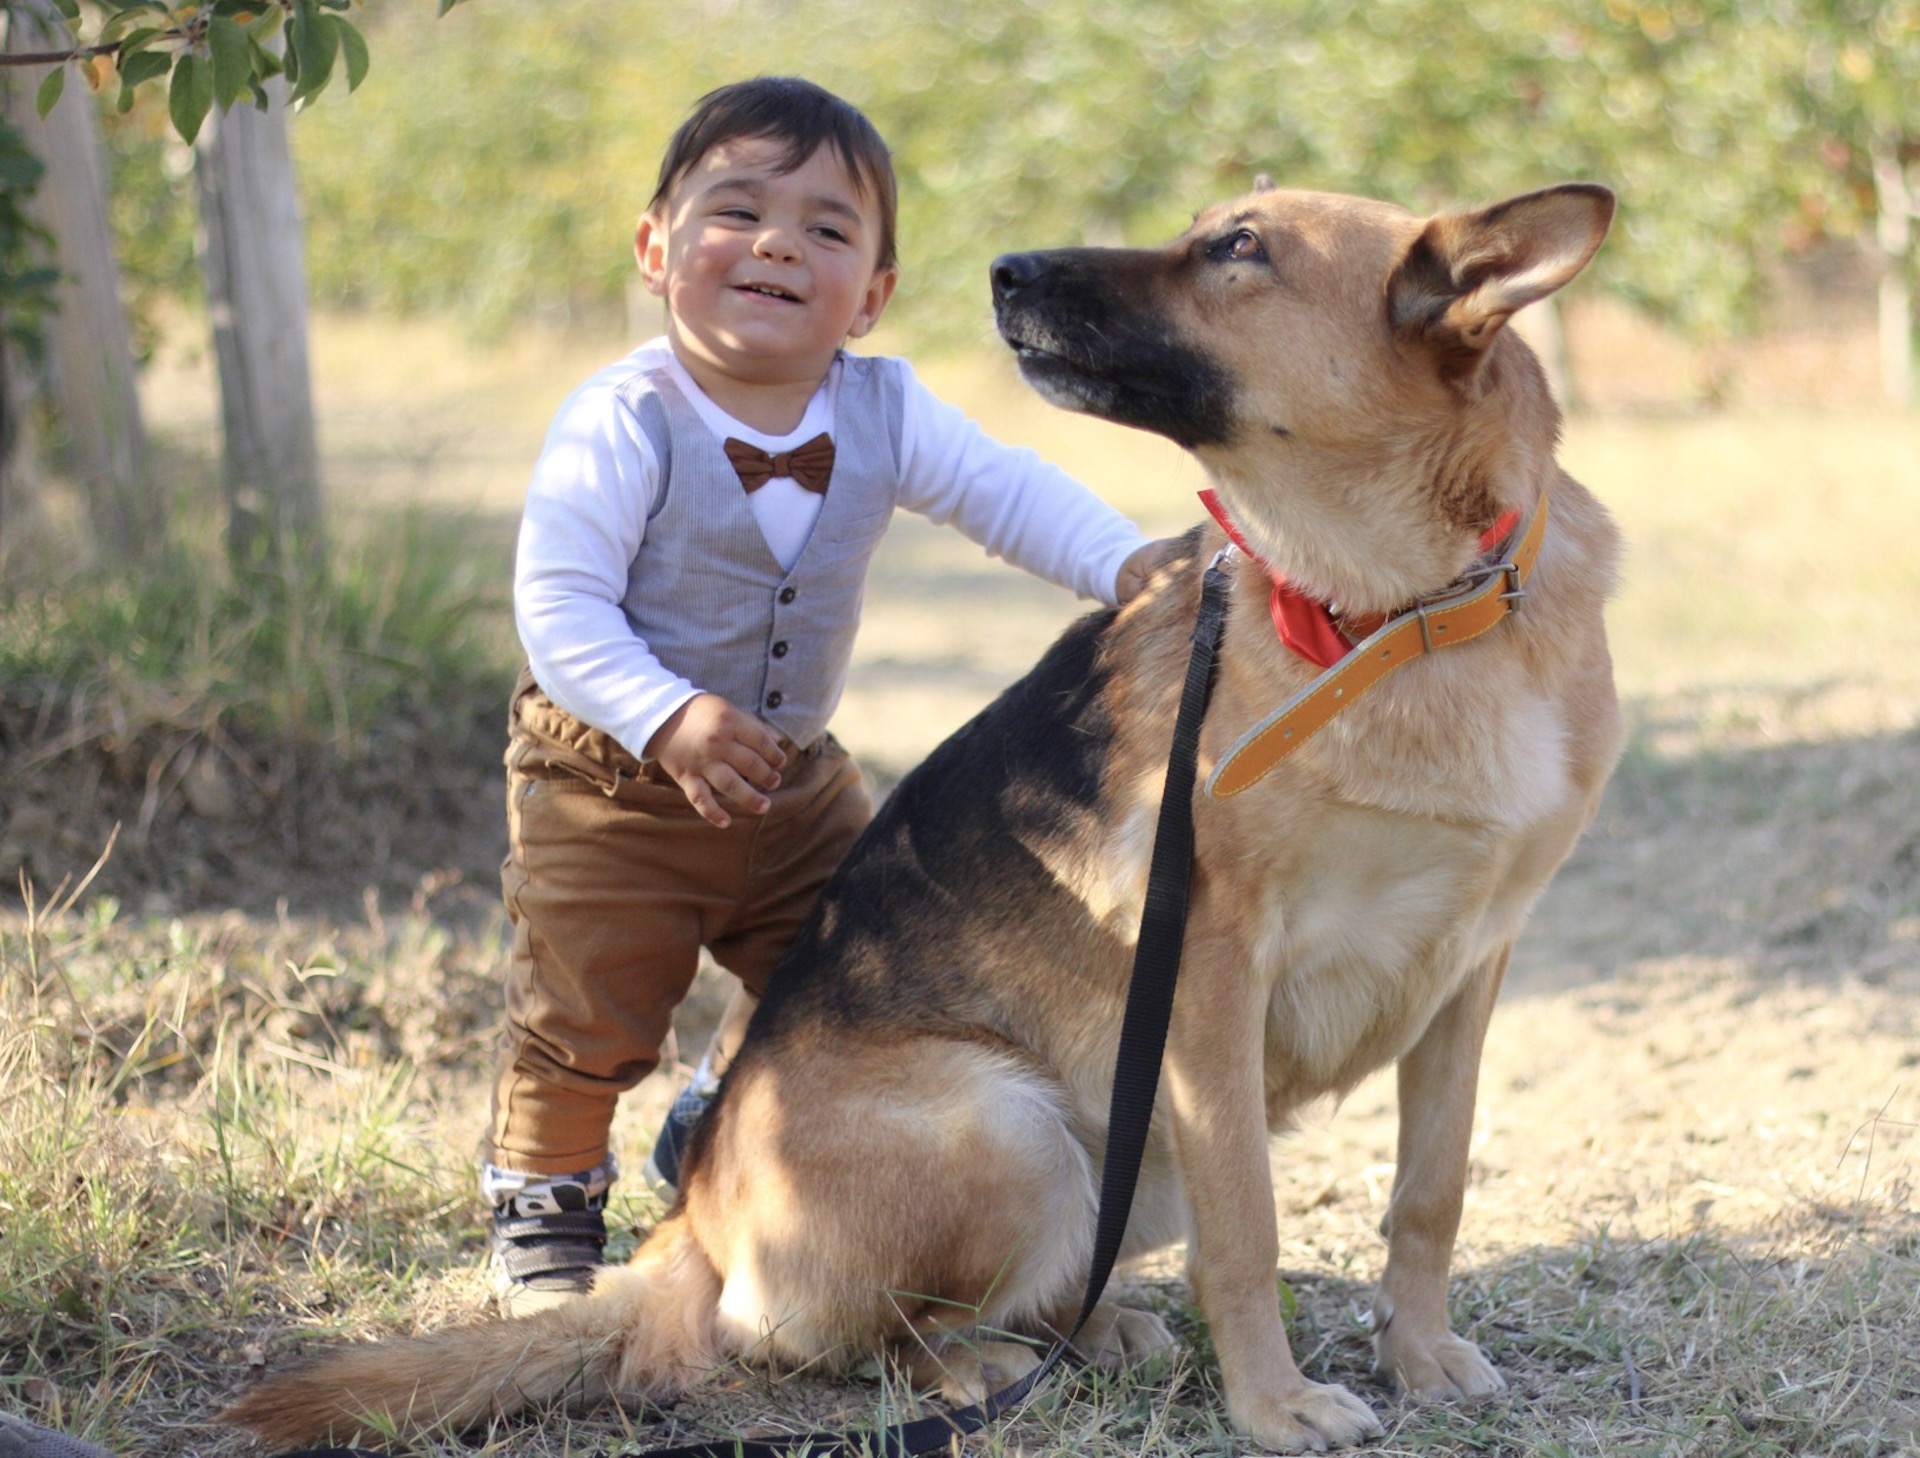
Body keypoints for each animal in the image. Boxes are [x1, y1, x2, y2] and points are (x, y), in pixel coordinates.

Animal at [232, 176, 1628, 1452]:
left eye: (1238, 248)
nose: (1008, 268)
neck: (1408, 615)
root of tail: (691, 1221)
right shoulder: (1213, 970)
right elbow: (1250, 1220)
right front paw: (1275, 1405)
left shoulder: (1471, 967)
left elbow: (1432, 1189)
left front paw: (1420, 1352)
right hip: (1015, 1126)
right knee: (835, 1338)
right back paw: (989, 1365)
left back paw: (1093, 1327)